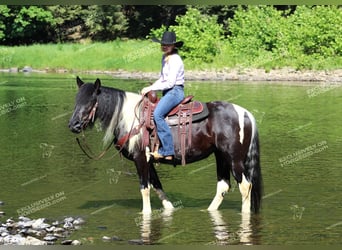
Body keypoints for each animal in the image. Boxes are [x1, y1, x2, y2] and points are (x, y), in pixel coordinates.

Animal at [68, 76, 264, 215]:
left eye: (90, 102)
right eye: (76, 100)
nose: (73, 125)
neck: (129, 118)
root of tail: (245, 113)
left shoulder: (140, 158)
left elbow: (145, 188)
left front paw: (145, 213)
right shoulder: (148, 161)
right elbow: (157, 186)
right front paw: (169, 208)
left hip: (234, 159)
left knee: (245, 186)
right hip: (221, 157)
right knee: (223, 186)